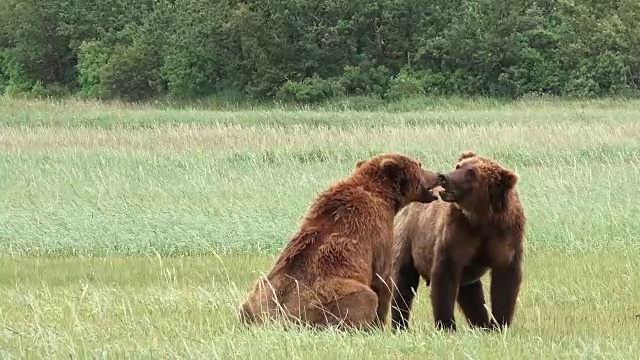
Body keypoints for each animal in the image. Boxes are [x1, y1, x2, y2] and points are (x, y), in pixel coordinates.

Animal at [238, 153, 442, 330]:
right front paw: (379, 326)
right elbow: (382, 279)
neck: (386, 197)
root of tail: (278, 319)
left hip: (256, 296)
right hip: (328, 299)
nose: (439, 175)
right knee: (365, 297)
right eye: (420, 165)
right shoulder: (379, 231)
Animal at [390, 150, 524, 332]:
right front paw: (446, 325)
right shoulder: (457, 232)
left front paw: (498, 324)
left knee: (470, 292)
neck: (482, 218)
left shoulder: (505, 234)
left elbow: (505, 277)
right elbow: (445, 274)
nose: (444, 177)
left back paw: (480, 325)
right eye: (458, 166)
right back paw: (400, 325)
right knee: (404, 281)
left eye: (471, 173)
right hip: (409, 237)